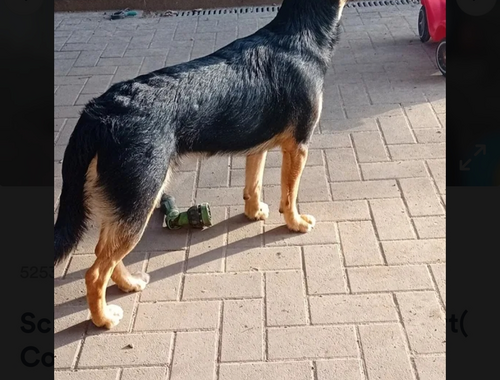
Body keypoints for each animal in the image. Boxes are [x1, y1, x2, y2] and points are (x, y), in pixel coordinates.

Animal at [53, 0, 348, 328]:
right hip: (140, 200)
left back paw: (128, 283)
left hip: (126, 203)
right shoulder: (298, 147)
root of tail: (98, 113)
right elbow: (289, 195)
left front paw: (254, 212)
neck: (298, 34)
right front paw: (295, 222)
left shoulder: (257, 146)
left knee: (105, 255)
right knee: (95, 273)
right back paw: (103, 318)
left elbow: (254, 185)